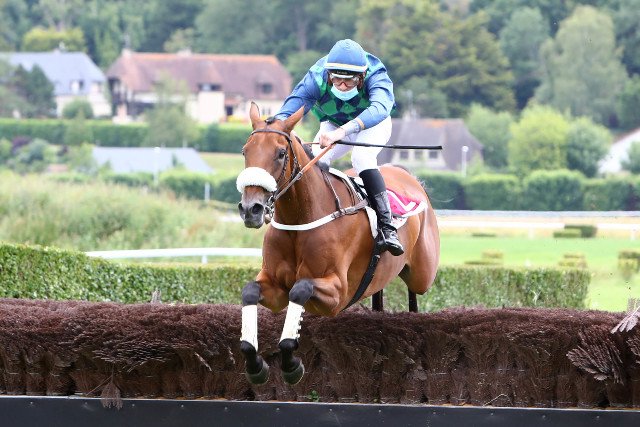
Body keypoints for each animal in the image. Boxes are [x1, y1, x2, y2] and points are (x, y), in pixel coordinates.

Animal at [236, 102, 440, 385]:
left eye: (280, 153)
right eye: (246, 151)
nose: (250, 209)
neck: (301, 218)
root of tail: (407, 175)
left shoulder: (337, 293)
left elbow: (300, 289)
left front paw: (291, 364)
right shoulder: (275, 288)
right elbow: (250, 292)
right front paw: (256, 365)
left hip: (424, 272)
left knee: (415, 286)